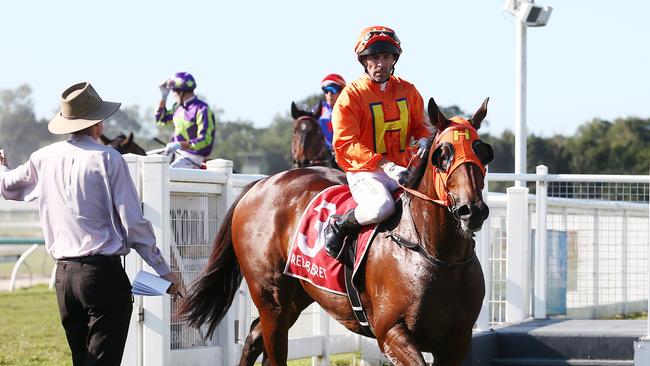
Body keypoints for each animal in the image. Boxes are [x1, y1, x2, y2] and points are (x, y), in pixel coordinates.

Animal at [177, 96, 492, 364]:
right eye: (443, 154)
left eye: (482, 151)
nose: (472, 209)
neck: (437, 255)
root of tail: (260, 184)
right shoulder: (392, 332)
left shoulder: (456, 342)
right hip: (271, 296)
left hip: (298, 292)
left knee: (255, 338)